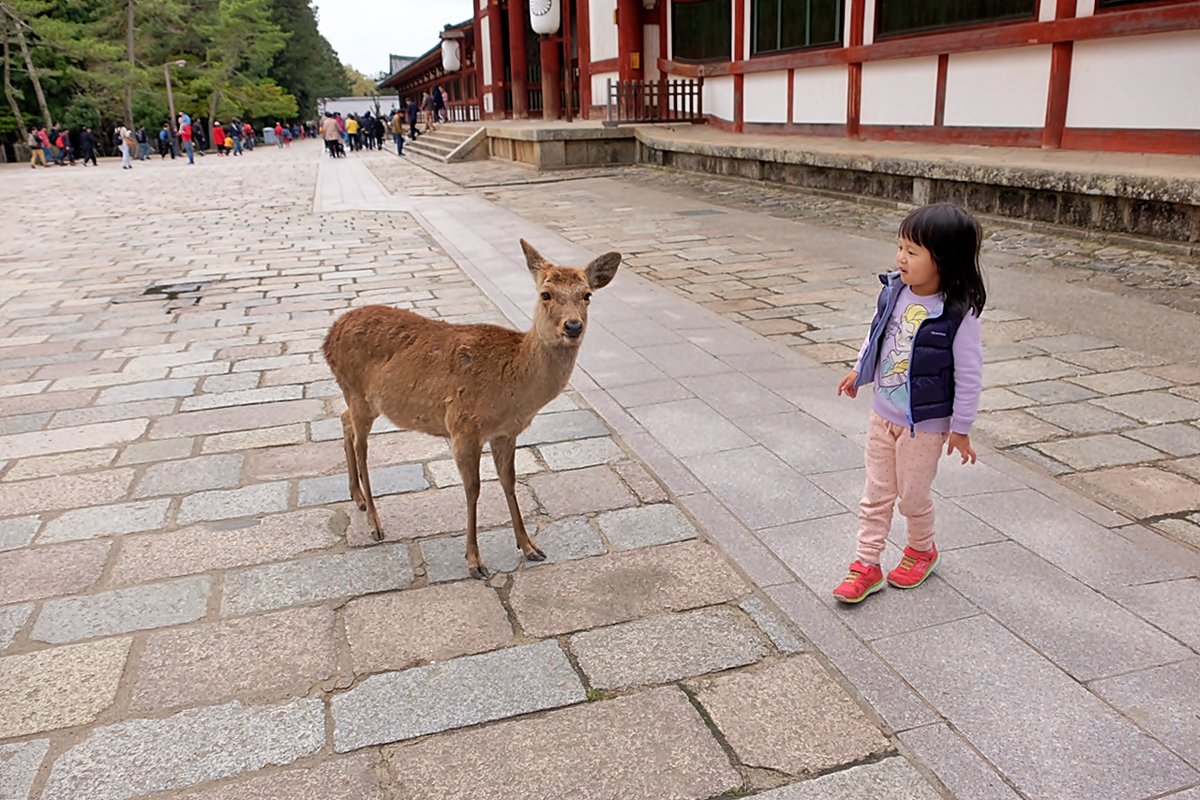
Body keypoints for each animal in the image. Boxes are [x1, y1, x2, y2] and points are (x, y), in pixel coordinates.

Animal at [321, 241, 619, 578]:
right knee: (362, 447)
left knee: (343, 421)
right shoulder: (463, 426)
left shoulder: (505, 433)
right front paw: (475, 560)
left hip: (360, 399)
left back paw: (356, 497)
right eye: (546, 294)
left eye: (587, 295)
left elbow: (509, 481)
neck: (514, 390)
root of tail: (327, 337)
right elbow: (473, 489)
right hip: (358, 392)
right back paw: (375, 524)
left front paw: (529, 546)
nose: (573, 326)